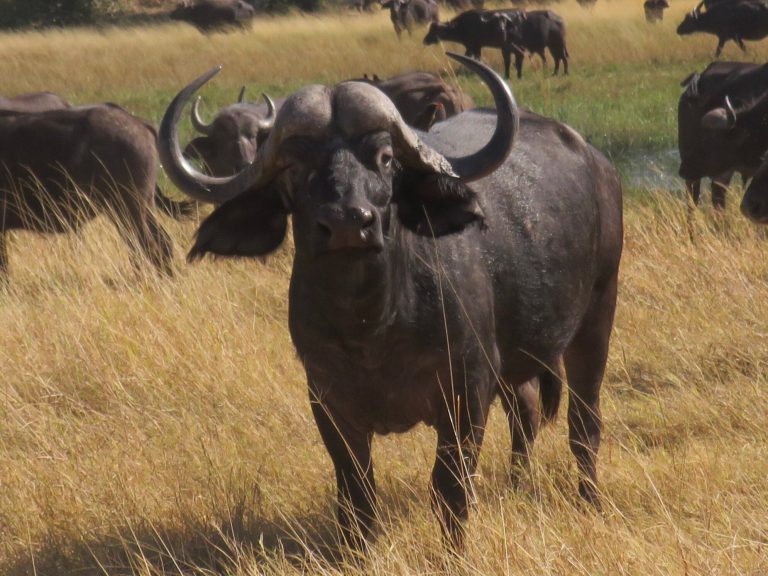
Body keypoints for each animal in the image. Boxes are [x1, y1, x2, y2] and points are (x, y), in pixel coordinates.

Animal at [158, 54, 623, 550]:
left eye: (383, 159)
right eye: (295, 166)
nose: (347, 222)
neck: (372, 324)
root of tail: (597, 163)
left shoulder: (468, 389)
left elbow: (450, 489)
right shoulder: (327, 400)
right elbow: (356, 497)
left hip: (597, 314)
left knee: (584, 423)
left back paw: (589, 498)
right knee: (527, 411)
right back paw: (518, 484)